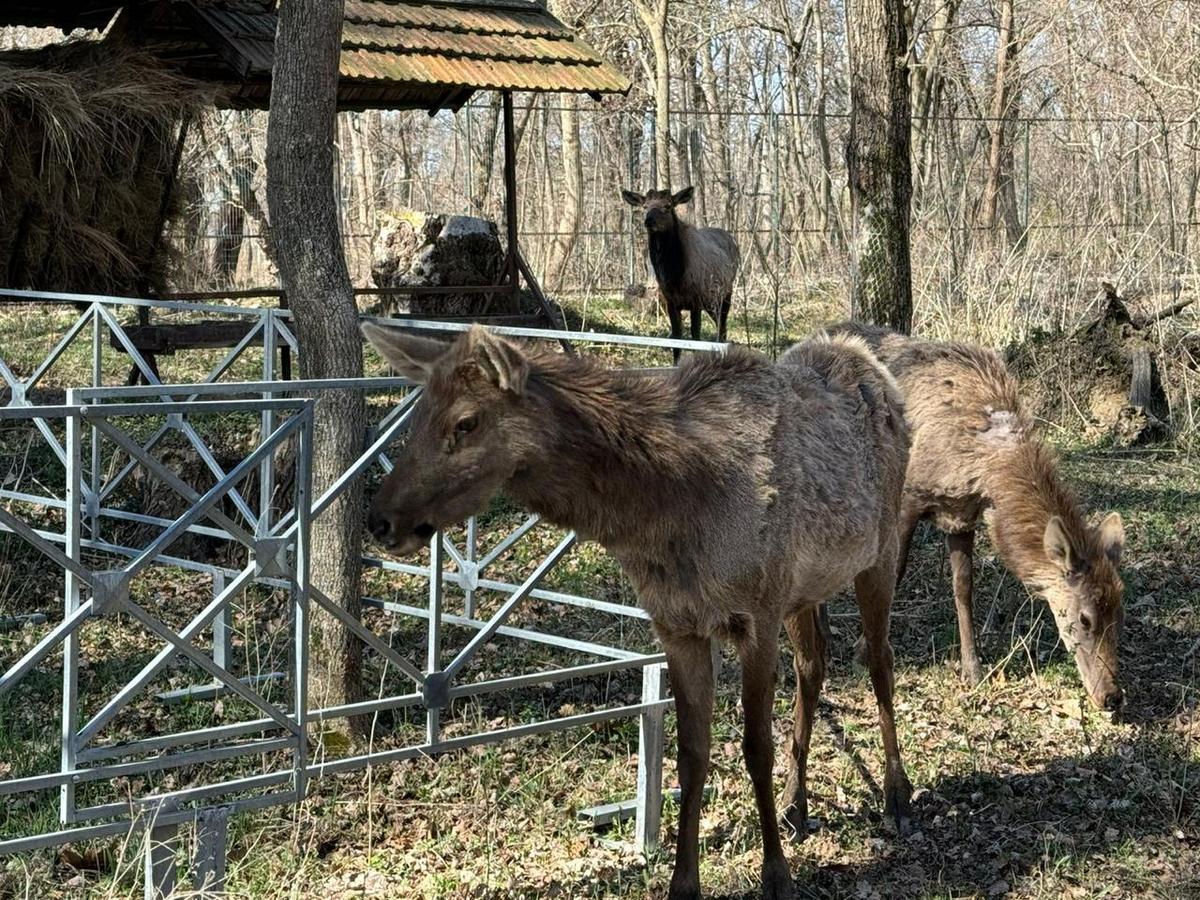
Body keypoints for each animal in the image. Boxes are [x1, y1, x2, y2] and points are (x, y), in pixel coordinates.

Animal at [362, 324, 907, 900]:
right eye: (417, 415)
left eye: (466, 422)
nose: (380, 520)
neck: (666, 516)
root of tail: (875, 367)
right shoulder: (679, 625)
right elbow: (690, 755)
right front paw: (683, 882)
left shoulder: (756, 615)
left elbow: (756, 748)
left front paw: (776, 876)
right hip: (806, 590)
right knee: (814, 665)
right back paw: (796, 804)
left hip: (881, 549)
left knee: (879, 659)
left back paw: (897, 794)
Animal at [619, 187, 739, 362]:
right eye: (645, 206)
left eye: (668, 205)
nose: (649, 221)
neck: (675, 276)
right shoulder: (671, 303)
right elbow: (676, 341)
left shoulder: (696, 302)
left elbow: (696, 339)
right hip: (711, 302)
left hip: (725, 295)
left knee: (722, 329)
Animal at [825, 321, 1123, 715]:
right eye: (1084, 618)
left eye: (1119, 611)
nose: (1112, 696)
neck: (981, 466)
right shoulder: (908, 498)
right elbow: (896, 574)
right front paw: (862, 648)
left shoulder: (961, 515)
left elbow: (964, 588)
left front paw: (972, 668)